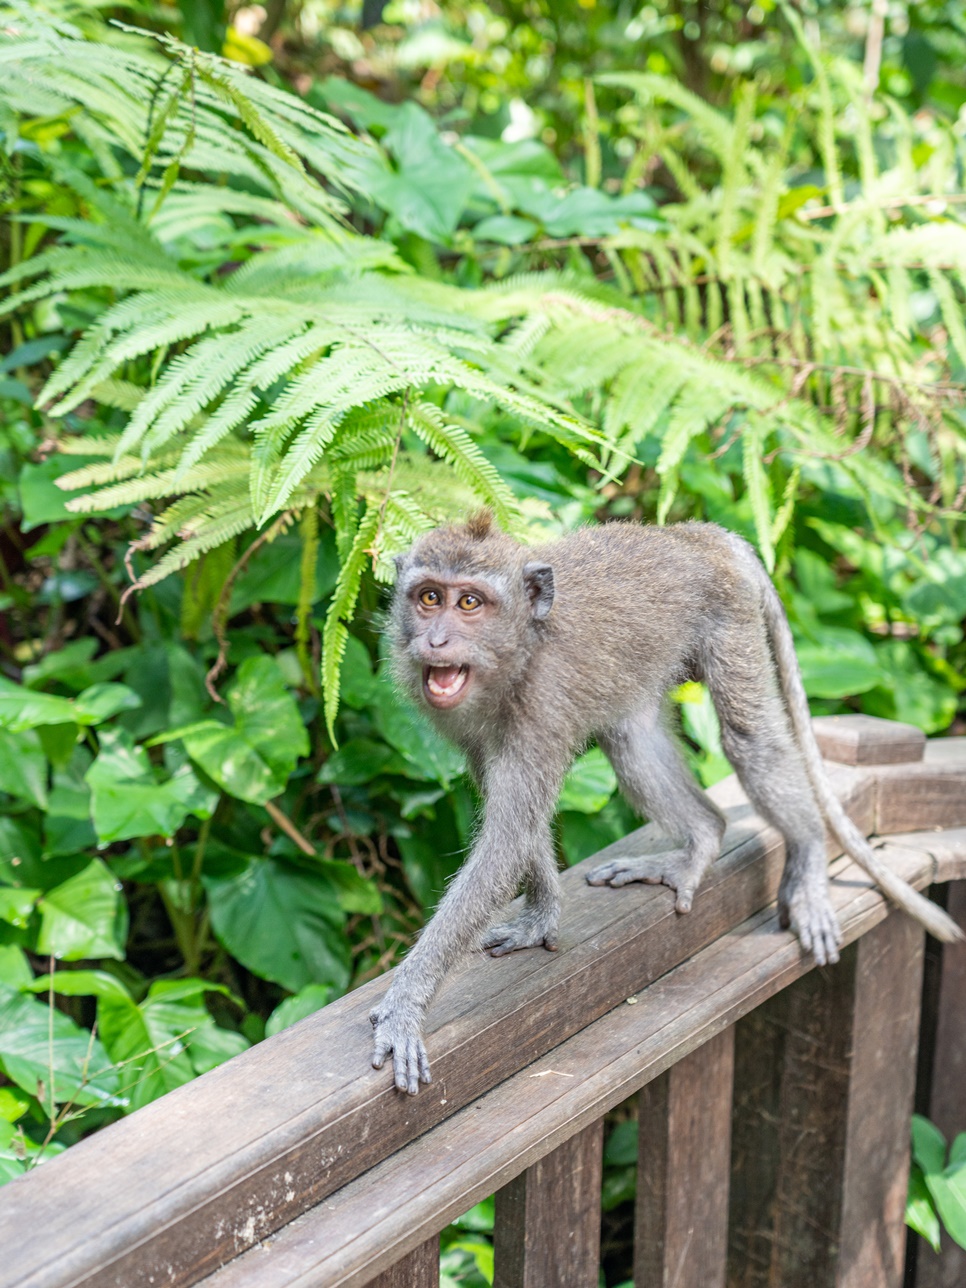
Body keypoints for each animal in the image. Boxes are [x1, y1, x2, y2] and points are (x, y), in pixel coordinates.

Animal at [368, 507, 963, 1092]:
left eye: (469, 602)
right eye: (429, 598)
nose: (435, 643)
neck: (519, 654)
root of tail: (691, 535)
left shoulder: (540, 708)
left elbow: (506, 842)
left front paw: (405, 1006)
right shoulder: (471, 730)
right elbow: (518, 826)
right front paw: (539, 918)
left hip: (730, 618)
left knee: (749, 742)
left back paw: (807, 855)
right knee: (631, 739)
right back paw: (702, 835)